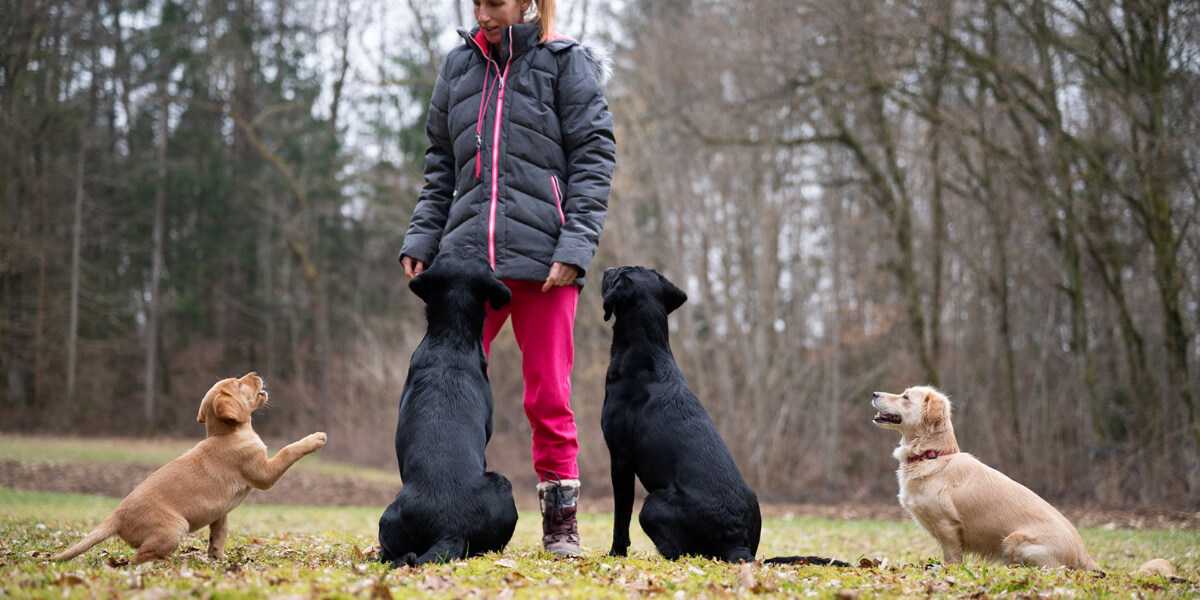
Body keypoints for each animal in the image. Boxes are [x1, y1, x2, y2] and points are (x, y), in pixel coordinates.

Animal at [51, 372, 326, 564]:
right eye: (238, 384)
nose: (256, 373)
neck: (227, 434)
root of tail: (116, 516)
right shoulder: (264, 473)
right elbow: (288, 450)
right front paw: (315, 438)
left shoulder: (220, 512)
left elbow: (219, 535)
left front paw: (218, 560)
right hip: (174, 528)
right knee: (137, 559)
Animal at [600, 267, 758, 561]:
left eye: (620, 272)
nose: (606, 269)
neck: (649, 351)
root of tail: (736, 540)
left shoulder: (620, 458)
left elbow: (621, 517)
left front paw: (616, 552)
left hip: (652, 504)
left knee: (676, 551)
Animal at [873, 386, 1099, 568]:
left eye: (905, 397)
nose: (874, 393)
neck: (931, 455)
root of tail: (1083, 554)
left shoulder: (948, 527)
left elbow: (952, 559)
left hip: (1013, 540)